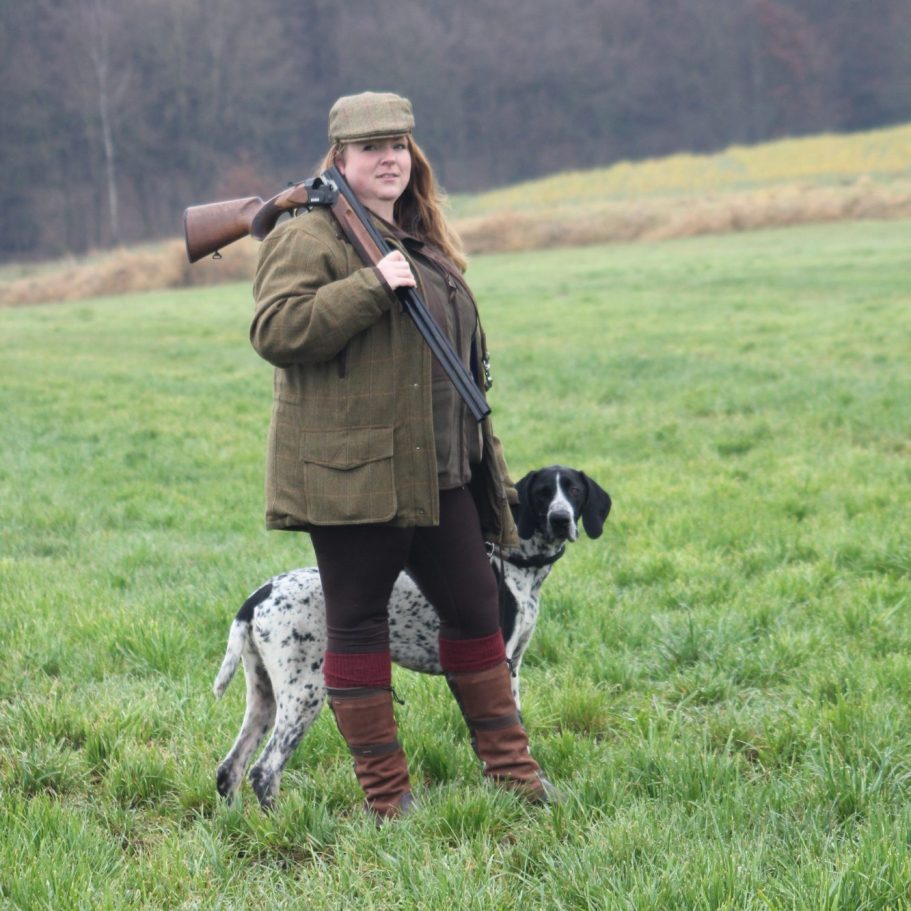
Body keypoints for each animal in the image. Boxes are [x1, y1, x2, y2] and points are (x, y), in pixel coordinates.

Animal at [213, 465, 611, 807]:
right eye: (543, 494)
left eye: (574, 491)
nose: (561, 519)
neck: (517, 566)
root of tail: (259, 595)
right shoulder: (498, 657)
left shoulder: (511, 664)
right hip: (303, 694)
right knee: (264, 771)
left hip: (264, 695)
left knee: (230, 769)